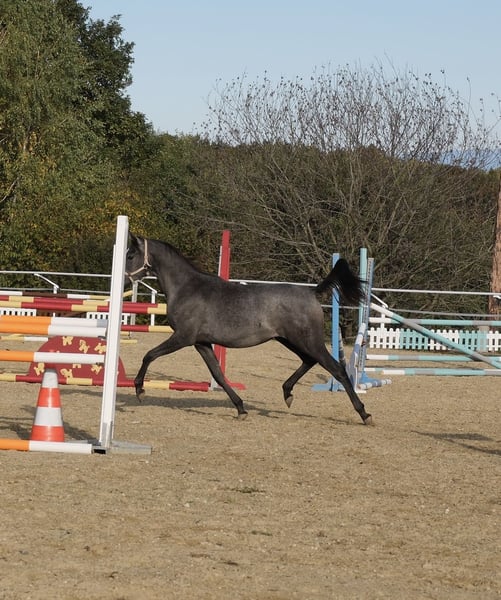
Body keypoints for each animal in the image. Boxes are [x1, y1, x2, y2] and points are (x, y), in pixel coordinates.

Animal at [125, 234, 372, 425]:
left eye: (130, 255)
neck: (187, 288)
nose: (126, 281)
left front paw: (139, 390)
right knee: (309, 361)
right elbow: (219, 375)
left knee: (337, 369)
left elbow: (149, 355)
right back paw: (287, 393)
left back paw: (364, 414)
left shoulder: (183, 337)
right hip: (290, 340)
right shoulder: (201, 343)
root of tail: (311, 292)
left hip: (309, 341)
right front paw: (241, 408)